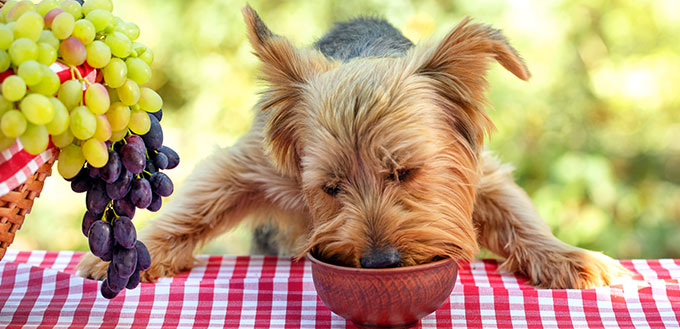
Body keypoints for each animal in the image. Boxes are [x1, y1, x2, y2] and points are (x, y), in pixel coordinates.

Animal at [79, 4, 632, 288]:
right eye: (330, 188)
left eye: (406, 172)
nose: (380, 262)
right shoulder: (254, 164)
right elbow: (196, 205)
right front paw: (129, 257)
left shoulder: (481, 172)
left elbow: (517, 215)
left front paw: (571, 259)